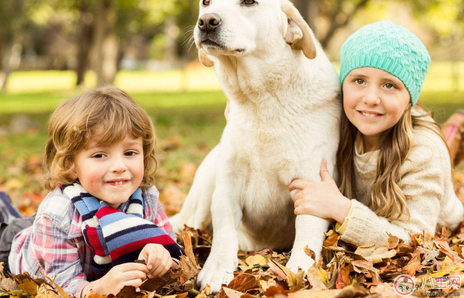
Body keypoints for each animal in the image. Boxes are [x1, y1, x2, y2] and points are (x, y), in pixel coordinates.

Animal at [170, 0, 340, 292]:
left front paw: (300, 272)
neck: (262, 101)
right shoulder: (228, 183)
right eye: (205, 2)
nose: (207, 21)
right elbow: (224, 229)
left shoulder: (312, 183)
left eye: (249, 2)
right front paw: (217, 269)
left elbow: (306, 235)